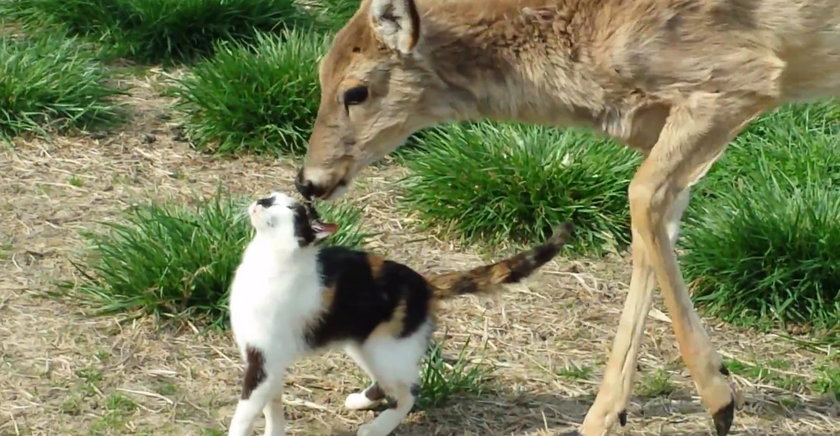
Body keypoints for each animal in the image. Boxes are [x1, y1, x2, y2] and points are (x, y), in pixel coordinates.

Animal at [226, 192, 576, 434]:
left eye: (288, 208)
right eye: (272, 196)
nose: (263, 199)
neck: (268, 261)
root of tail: (425, 283)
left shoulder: (263, 362)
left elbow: (245, 412)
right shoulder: (270, 362)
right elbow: (272, 408)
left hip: (385, 347)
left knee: (409, 392)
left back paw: (376, 427)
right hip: (366, 345)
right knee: (388, 383)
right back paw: (360, 402)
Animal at [294, 1, 840, 434]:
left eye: (356, 91)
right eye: (318, 75)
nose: (309, 180)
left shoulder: (732, 81)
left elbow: (641, 198)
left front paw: (720, 398)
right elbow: (653, 233)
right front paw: (603, 416)